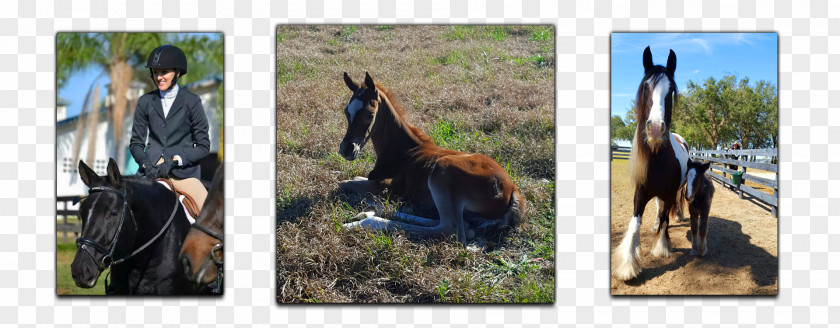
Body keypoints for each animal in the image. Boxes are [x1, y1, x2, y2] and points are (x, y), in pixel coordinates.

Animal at [336, 72, 524, 246]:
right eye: (346, 112)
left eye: (369, 114)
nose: (347, 149)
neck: (402, 150)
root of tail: (513, 190)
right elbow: (355, 179)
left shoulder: (388, 186)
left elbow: (343, 184)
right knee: (463, 225)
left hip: (442, 171)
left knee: (451, 230)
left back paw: (364, 220)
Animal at [612, 46, 688, 282]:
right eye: (646, 87)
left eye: (670, 90)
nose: (655, 128)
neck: (658, 159)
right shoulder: (641, 192)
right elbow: (635, 223)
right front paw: (628, 264)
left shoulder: (670, 192)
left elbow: (666, 217)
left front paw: (661, 247)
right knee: (658, 208)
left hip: (676, 190)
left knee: (669, 207)